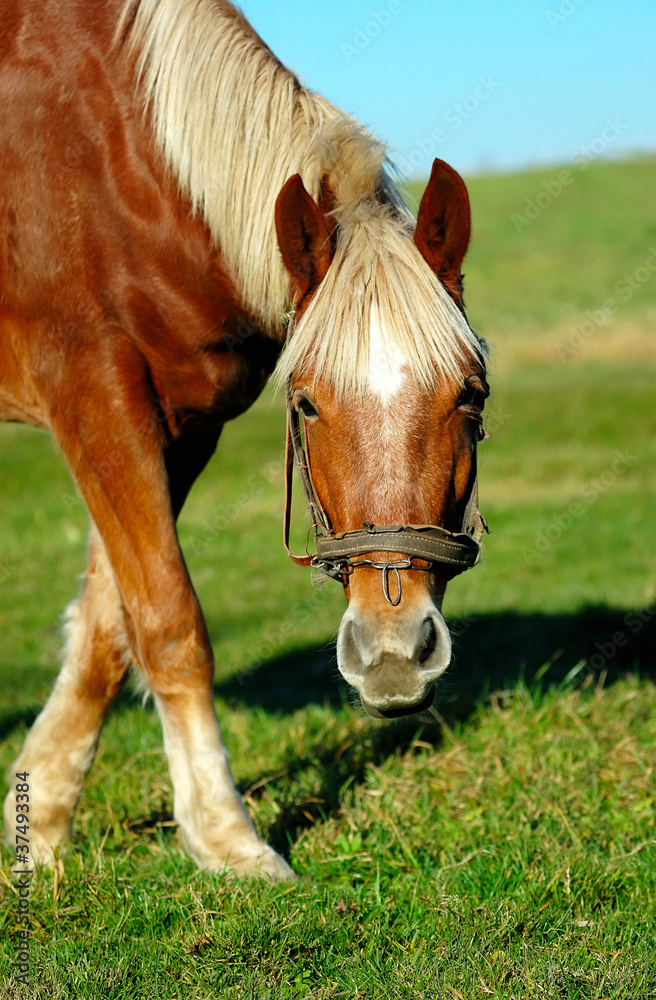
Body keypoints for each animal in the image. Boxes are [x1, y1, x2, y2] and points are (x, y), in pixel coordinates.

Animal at [0, 0, 486, 880]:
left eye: (470, 394)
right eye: (308, 404)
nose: (393, 652)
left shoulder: (181, 424)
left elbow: (110, 626)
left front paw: (39, 821)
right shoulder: (92, 393)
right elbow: (169, 619)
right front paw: (225, 834)